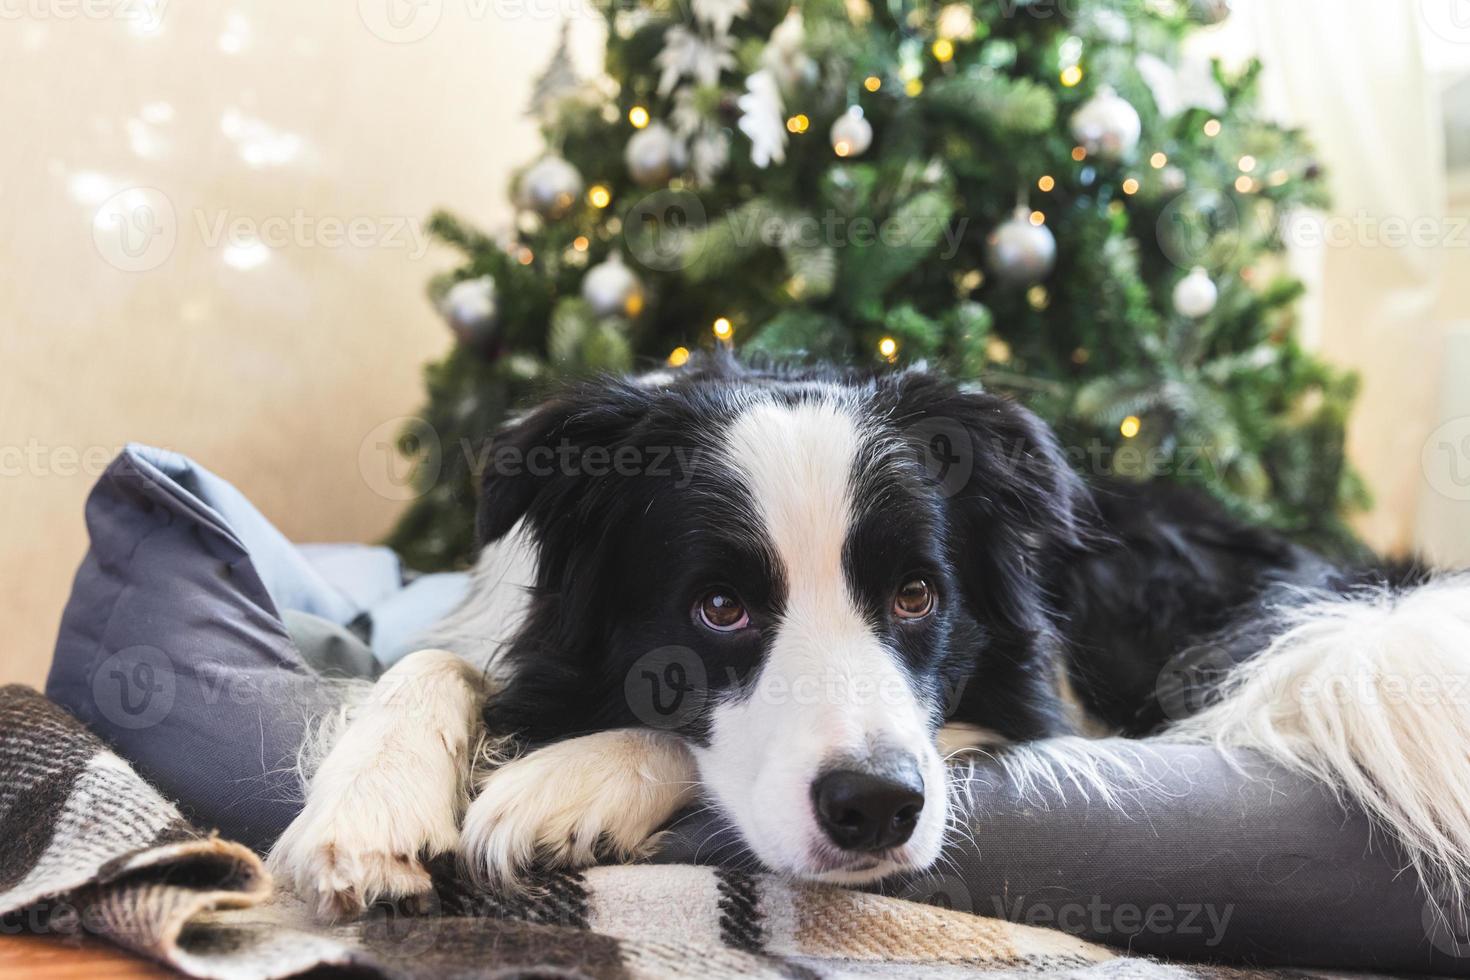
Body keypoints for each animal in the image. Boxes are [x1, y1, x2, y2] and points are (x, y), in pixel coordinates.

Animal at [270, 359, 1470, 922]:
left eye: (914, 594)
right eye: (718, 608)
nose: (878, 810)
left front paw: (565, 781)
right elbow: (430, 658)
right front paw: (365, 818)